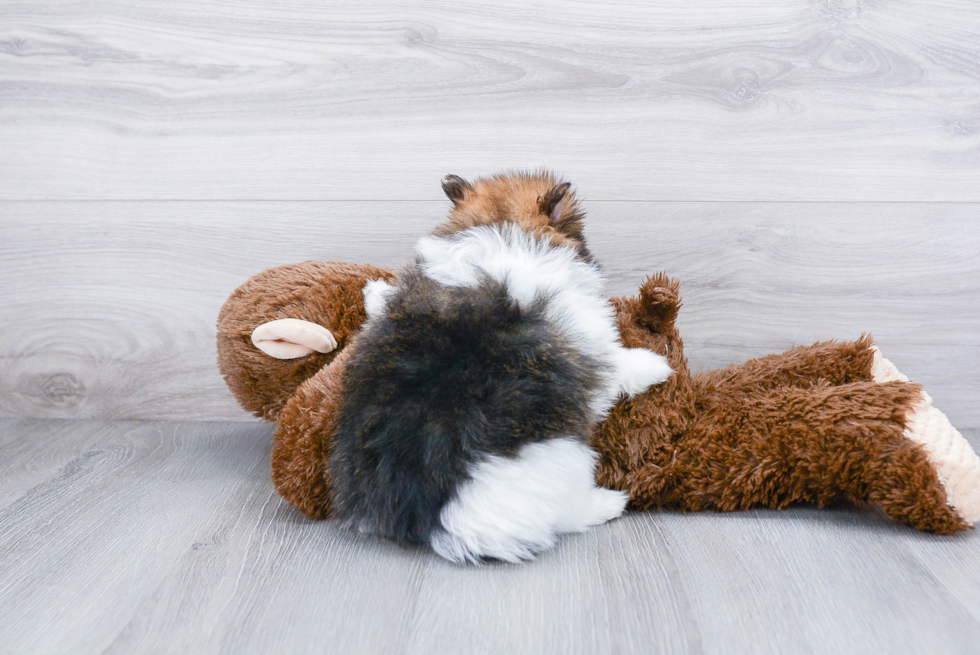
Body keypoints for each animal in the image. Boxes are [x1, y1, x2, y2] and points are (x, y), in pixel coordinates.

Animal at [330, 170, 672, 564]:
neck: (502, 226)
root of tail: (434, 512)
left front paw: (374, 292)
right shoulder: (592, 337)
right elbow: (620, 363)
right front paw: (656, 365)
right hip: (568, 460)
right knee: (569, 512)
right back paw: (610, 503)